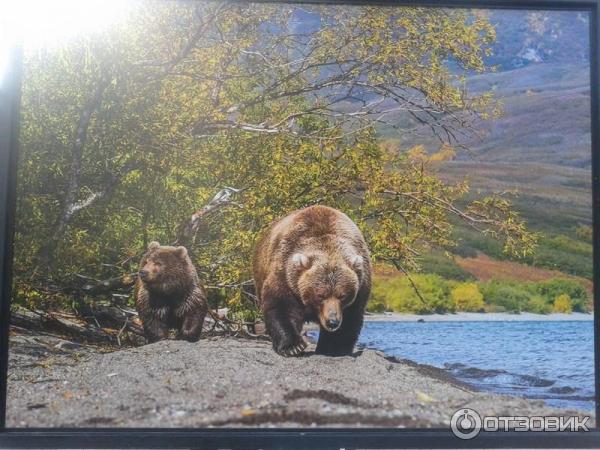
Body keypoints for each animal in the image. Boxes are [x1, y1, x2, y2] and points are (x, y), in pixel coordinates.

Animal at [252, 206, 370, 356]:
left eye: (342, 295)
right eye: (321, 295)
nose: (332, 322)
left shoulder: (360, 288)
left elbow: (350, 318)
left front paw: (333, 348)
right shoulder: (286, 275)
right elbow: (281, 305)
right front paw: (293, 346)